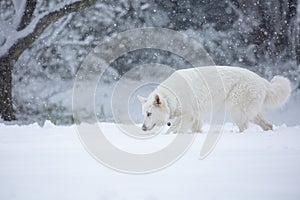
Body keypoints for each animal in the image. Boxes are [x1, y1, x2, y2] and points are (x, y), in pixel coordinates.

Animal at [138, 66, 290, 134]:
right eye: (144, 114)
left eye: (149, 114)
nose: (143, 128)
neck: (172, 96)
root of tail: (263, 81)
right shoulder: (196, 115)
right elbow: (196, 128)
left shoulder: (188, 115)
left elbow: (174, 129)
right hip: (251, 111)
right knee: (267, 125)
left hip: (236, 107)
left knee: (244, 126)